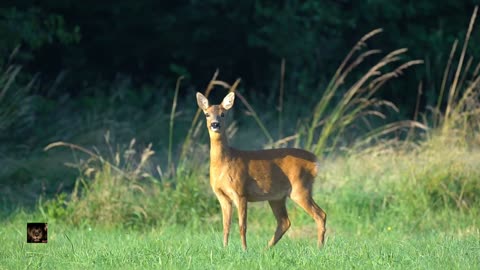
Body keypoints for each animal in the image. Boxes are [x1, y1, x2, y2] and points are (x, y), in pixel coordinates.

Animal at [195, 91, 326, 251]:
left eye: (223, 114)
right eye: (207, 114)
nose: (215, 124)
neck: (224, 163)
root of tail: (315, 160)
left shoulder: (240, 192)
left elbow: (242, 226)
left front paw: (244, 250)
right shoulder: (222, 195)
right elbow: (225, 226)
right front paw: (224, 249)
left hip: (300, 188)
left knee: (320, 215)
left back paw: (319, 248)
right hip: (276, 197)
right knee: (284, 222)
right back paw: (266, 249)